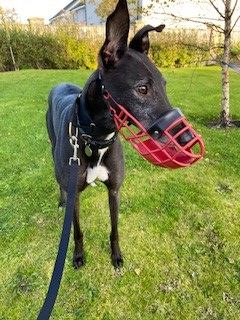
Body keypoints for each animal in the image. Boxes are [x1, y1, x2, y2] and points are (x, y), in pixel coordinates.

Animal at [47, 0, 173, 270]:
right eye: (142, 89)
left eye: (164, 84)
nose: (186, 139)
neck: (95, 140)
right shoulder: (75, 194)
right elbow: (77, 231)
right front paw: (78, 256)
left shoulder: (115, 191)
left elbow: (115, 229)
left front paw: (116, 256)